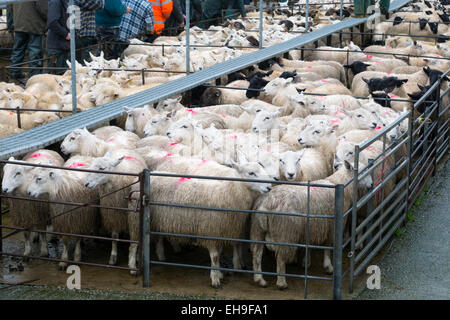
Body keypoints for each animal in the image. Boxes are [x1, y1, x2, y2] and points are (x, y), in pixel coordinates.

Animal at [250, 160, 372, 290]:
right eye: (363, 171)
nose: (371, 184)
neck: (340, 184)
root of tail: (267, 203)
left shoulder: (310, 227)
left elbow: (307, 245)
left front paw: (306, 262)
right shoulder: (332, 226)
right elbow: (328, 247)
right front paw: (328, 266)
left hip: (257, 229)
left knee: (257, 254)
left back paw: (259, 279)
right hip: (286, 232)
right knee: (281, 258)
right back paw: (281, 282)